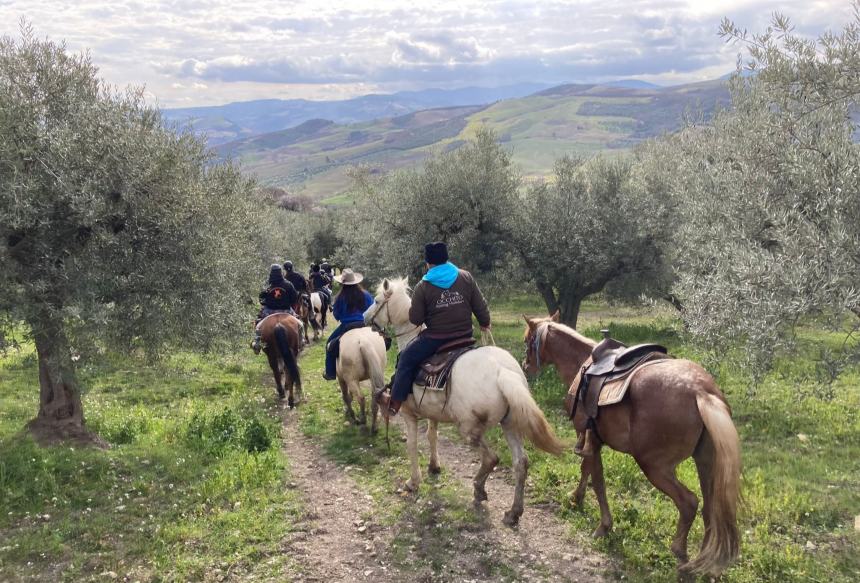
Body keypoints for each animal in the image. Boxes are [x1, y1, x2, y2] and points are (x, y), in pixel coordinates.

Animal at [364, 278, 572, 528]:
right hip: (509, 424)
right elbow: (432, 436)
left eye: (377, 300)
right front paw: (434, 467)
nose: (365, 318)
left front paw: (413, 482)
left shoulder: (408, 414)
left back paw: (479, 490)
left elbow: (412, 445)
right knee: (521, 463)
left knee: (491, 458)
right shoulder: (433, 414)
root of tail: (503, 372)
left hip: (469, 429)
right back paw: (513, 512)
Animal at [520, 312, 744, 576]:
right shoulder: (590, 440)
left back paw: (680, 554)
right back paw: (701, 563)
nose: (525, 366)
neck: (580, 364)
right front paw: (576, 498)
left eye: (528, 339)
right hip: (705, 462)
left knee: (689, 503)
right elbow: (586, 471)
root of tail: (702, 392)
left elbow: (596, 478)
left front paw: (603, 526)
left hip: (654, 465)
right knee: (710, 509)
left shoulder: (590, 439)